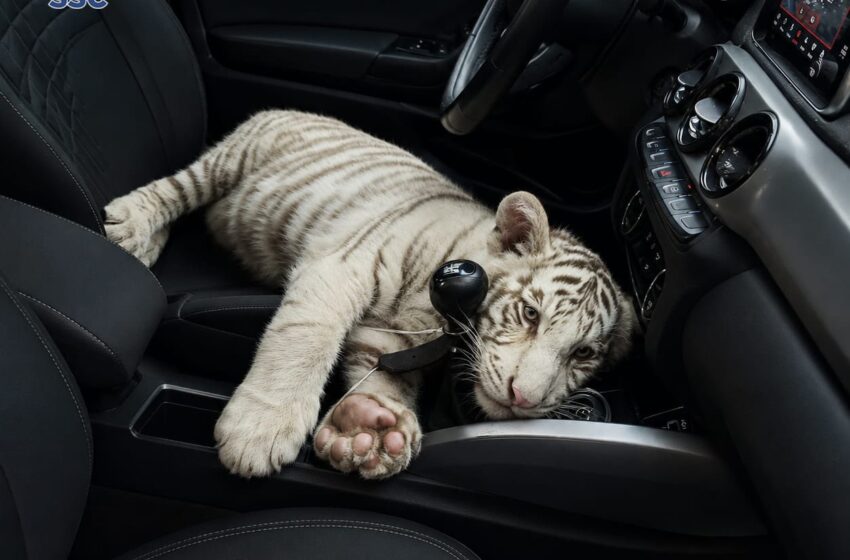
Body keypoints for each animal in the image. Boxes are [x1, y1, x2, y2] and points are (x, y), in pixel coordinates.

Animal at [104, 110, 638, 480]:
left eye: (583, 354)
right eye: (529, 314)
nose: (523, 398)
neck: (439, 314)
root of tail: (296, 109)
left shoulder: (391, 336)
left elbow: (384, 379)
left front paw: (371, 429)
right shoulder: (342, 267)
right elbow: (304, 340)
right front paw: (259, 430)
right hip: (231, 160)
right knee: (177, 188)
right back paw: (130, 226)